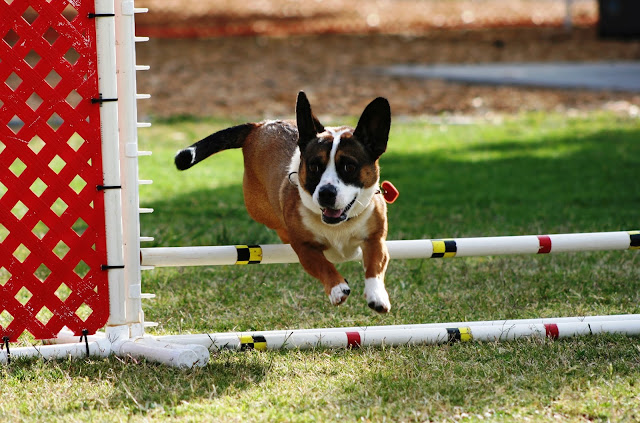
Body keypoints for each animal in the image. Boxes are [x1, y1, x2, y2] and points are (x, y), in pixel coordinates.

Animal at [176, 91, 396, 314]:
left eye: (349, 167)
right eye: (314, 167)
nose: (325, 193)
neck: (339, 225)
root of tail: (261, 124)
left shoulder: (376, 240)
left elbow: (375, 266)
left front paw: (377, 295)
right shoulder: (304, 248)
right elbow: (323, 265)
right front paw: (337, 288)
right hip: (258, 209)